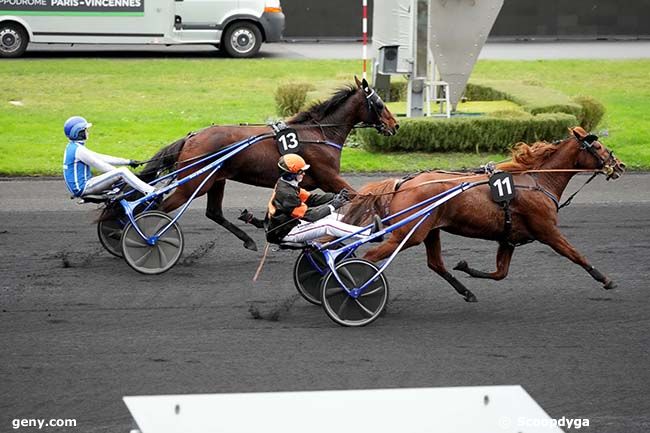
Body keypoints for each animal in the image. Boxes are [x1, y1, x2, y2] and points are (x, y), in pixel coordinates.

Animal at [137, 77, 398, 250]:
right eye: (380, 104)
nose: (395, 125)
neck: (318, 133)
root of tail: (191, 137)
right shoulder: (329, 177)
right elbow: (361, 196)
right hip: (193, 183)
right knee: (157, 208)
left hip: (216, 180)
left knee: (213, 212)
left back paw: (248, 239)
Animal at [344, 126, 624, 302]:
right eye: (599, 146)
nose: (620, 165)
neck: (537, 180)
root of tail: (403, 183)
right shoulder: (547, 230)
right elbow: (574, 254)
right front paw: (605, 279)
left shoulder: (508, 238)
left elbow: (501, 273)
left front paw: (465, 267)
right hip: (408, 234)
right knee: (369, 257)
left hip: (429, 231)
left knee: (435, 263)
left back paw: (466, 292)